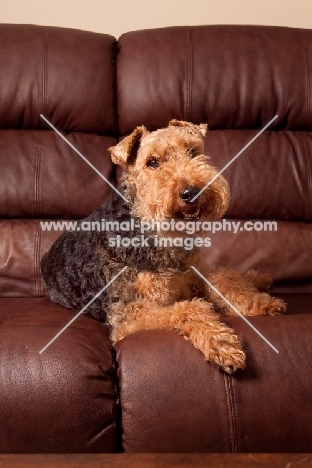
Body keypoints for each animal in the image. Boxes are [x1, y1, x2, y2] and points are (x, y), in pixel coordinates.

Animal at [40, 119, 286, 372]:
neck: (160, 234)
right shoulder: (131, 314)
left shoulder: (197, 273)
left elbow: (225, 279)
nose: (192, 192)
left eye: (192, 152)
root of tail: (46, 256)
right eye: (152, 162)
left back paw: (261, 279)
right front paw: (222, 344)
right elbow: (190, 308)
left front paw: (262, 302)